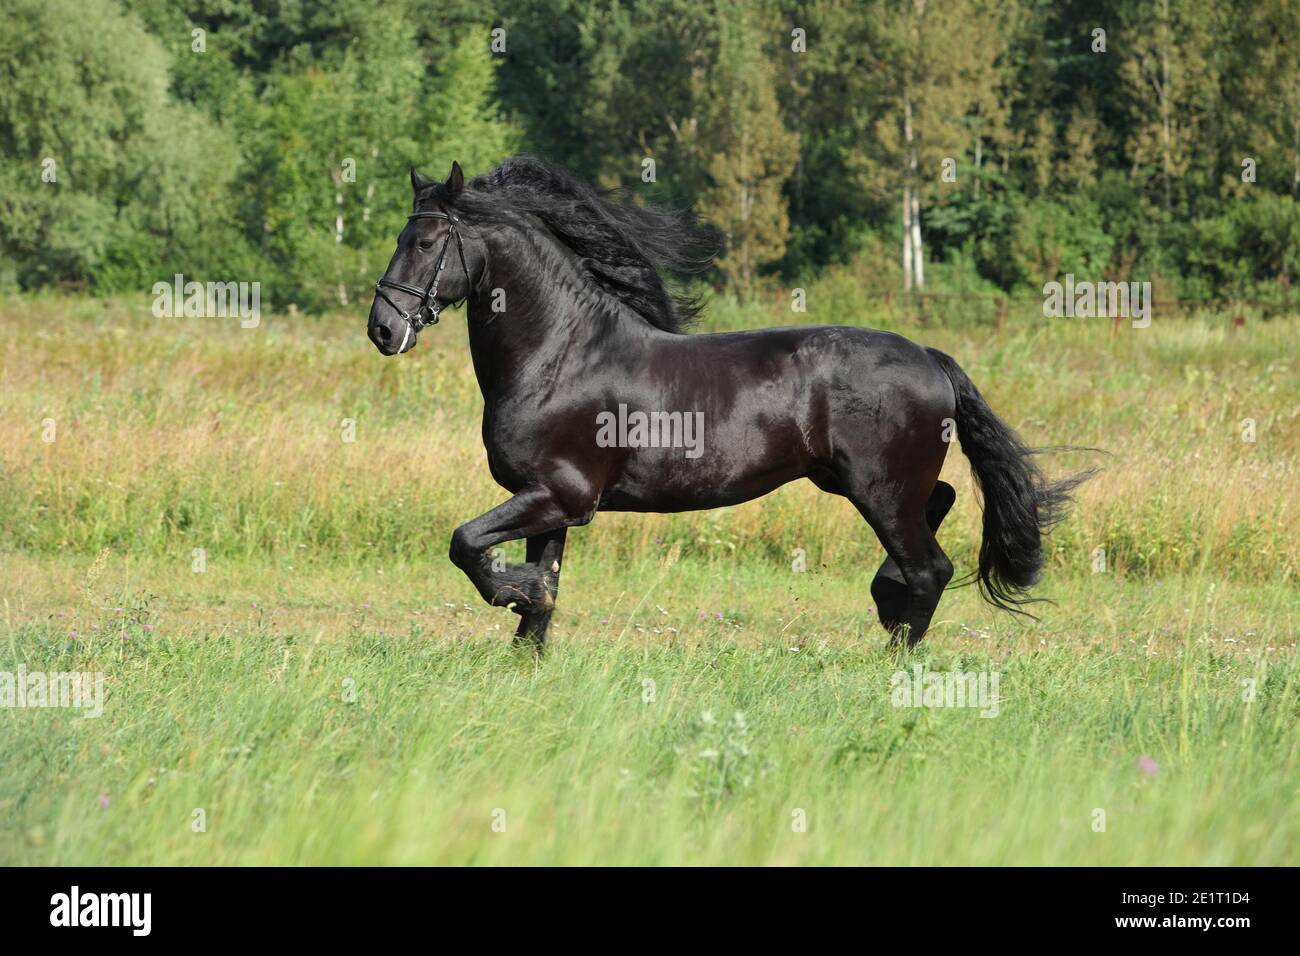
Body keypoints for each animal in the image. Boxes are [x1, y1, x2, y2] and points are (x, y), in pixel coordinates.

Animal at [366, 158, 1086, 650]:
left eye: (425, 241)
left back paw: (895, 653)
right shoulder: (549, 504)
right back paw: (886, 601)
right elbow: (544, 595)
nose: (383, 328)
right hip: (856, 483)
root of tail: (931, 358)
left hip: (878, 490)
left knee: (931, 566)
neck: (561, 355)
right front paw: (527, 639)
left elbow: (467, 544)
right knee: (940, 509)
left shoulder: (561, 496)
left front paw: (509, 587)